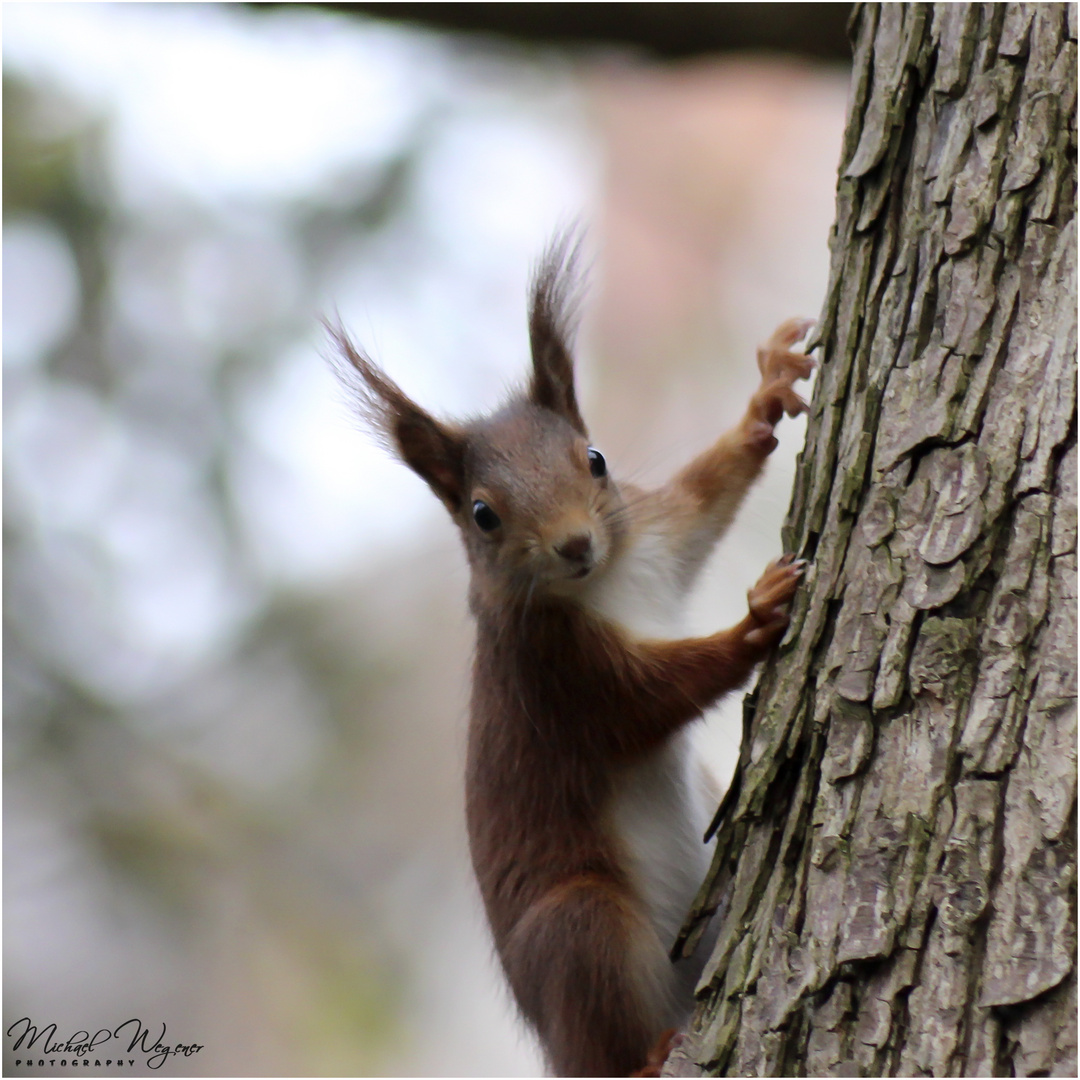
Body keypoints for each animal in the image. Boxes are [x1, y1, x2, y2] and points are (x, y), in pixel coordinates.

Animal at [328, 238, 812, 1080]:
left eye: (595, 458)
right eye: (483, 515)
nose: (576, 545)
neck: (607, 583)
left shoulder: (655, 538)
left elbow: (704, 496)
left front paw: (766, 400)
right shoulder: (553, 670)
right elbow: (649, 697)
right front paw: (753, 622)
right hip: (580, 927)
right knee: (604, 1028)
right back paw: (648, 1055)